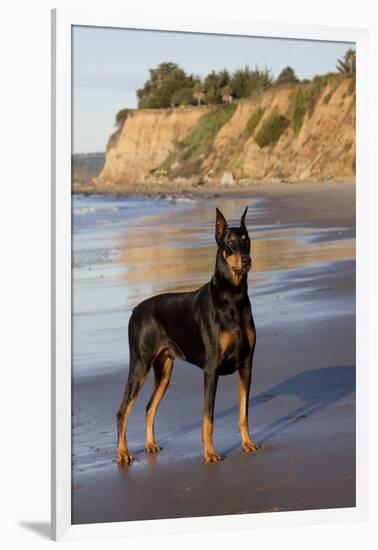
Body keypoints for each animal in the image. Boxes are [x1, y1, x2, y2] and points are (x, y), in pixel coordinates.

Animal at [116, 207, 258, 466]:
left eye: (247, 241)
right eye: (230, 243)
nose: (246, 260)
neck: (233, 297)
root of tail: (135, 311)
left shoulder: (246, 364)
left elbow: (244, 411)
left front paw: (247, 444)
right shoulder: (211, 369)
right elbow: (208, 416)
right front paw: (210, 453)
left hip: (164, 369)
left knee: (149, 407)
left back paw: (150, 444)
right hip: (140, 364)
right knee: (123, 410)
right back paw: (123, 453)